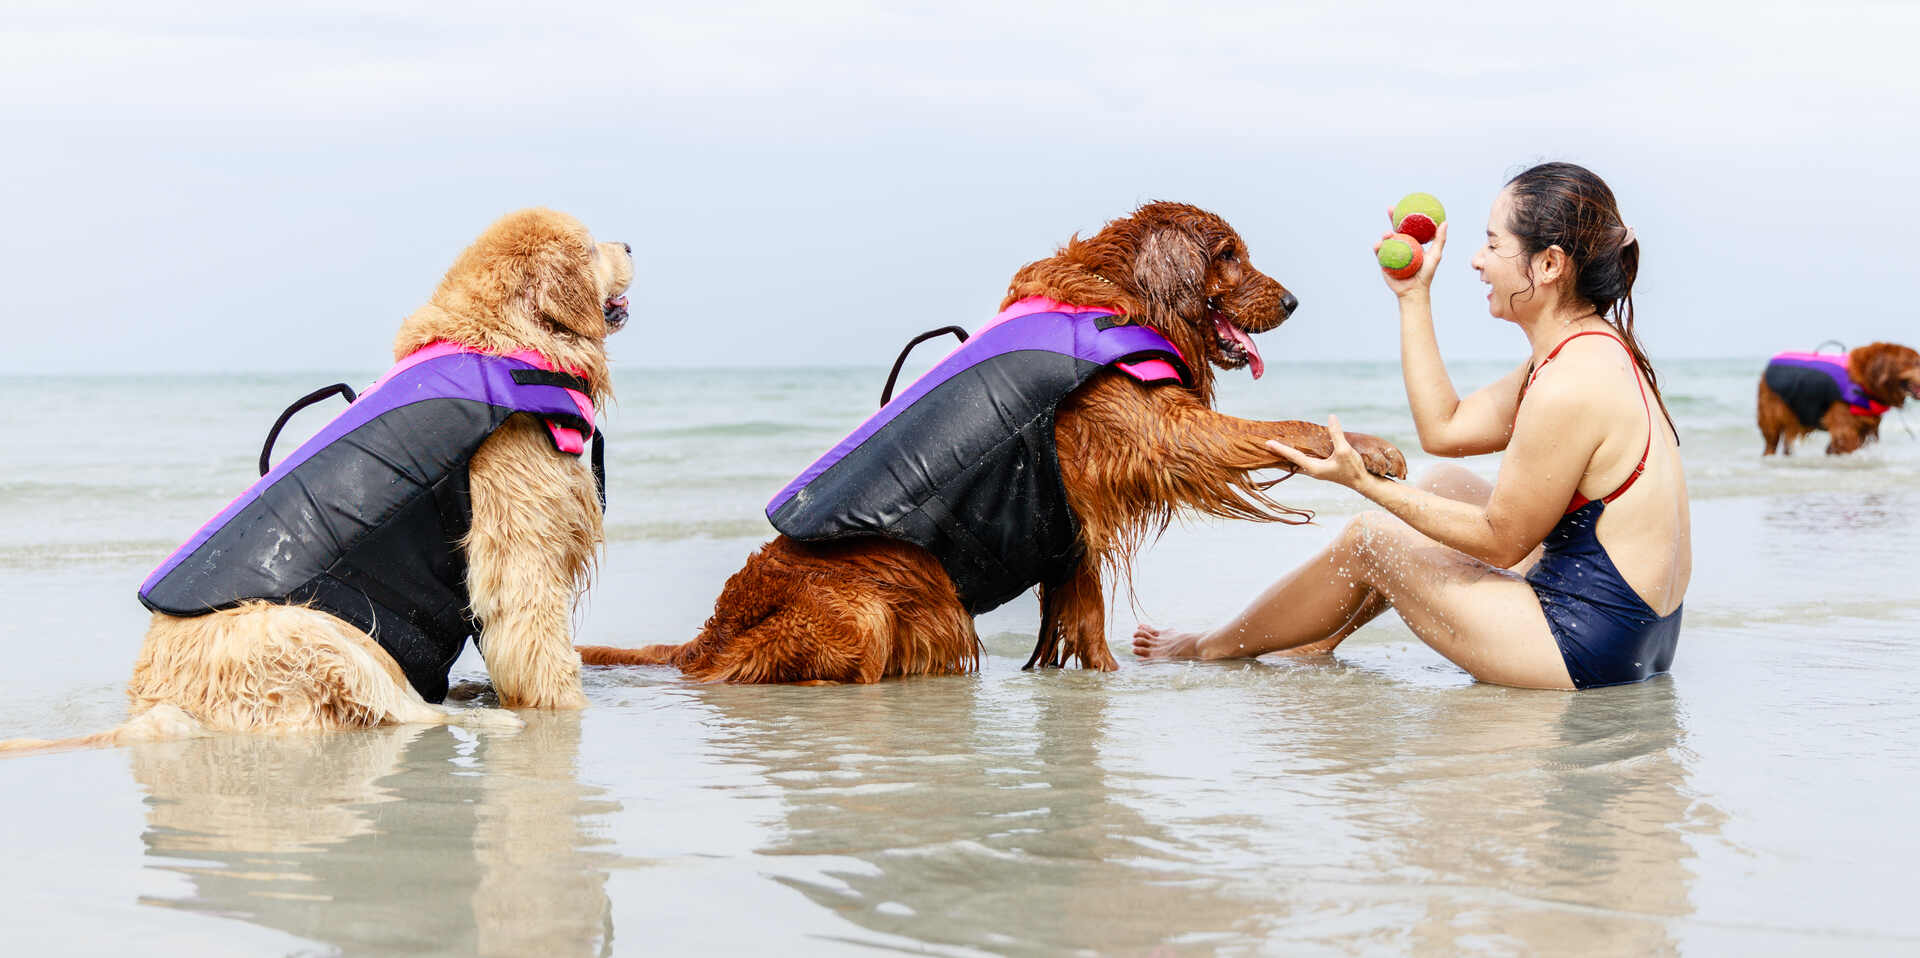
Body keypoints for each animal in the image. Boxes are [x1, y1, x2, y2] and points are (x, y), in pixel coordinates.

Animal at [5, 210, 637, 756]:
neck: (505, 344)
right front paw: (566, 708)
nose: (630, 245)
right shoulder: (519, 546)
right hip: (320, 633)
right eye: (590, 246)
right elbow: (537, 641)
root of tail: (160, 709)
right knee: (407, 710)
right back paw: (488, 717)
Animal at [576, 202, 1405, 683]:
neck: (1121, 299)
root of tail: (705, 638)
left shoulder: (1072, 525)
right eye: (1230, 253)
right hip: (878, 610)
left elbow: (1085, 619)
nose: (1292, 301)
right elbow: (1281, 428)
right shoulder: (1161, 432)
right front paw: (1369, 449)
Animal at [1758, 343, 1920, 455]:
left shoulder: (1868, 427)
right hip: (1772, 415)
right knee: (1771, 440)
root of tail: (1767, 367)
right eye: (1915, 362)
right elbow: (1846, 443)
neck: (1864, 379)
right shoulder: (1844, 428)